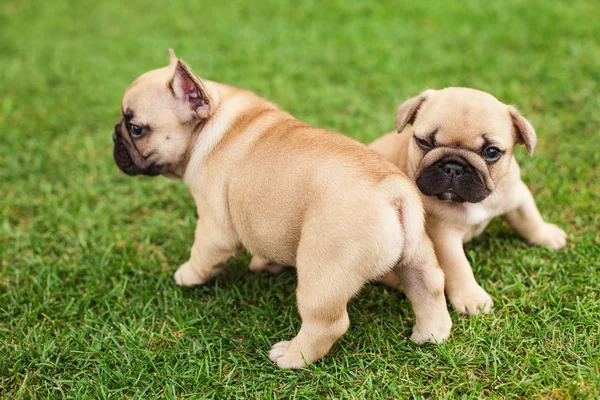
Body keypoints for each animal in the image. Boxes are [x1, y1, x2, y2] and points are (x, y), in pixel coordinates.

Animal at [370, 87, 568, 316]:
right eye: (424, 142)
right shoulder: (444, 236)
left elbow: (530, 218)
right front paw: (472, 298)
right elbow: (458, 266)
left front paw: (546, 235)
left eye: (492, 152)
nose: (453, 166)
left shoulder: (516, 193)